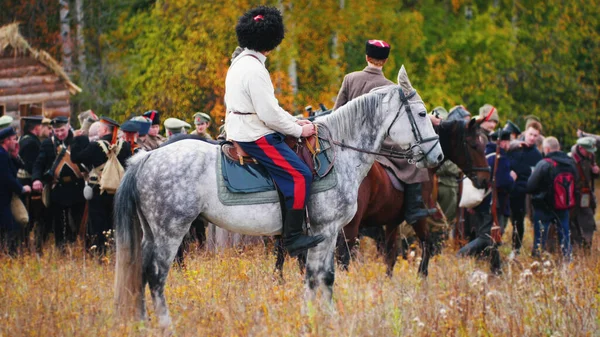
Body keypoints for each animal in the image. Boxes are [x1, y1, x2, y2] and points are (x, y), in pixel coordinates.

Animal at [112, 65, 442, 326]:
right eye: (421, 113)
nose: (437, 156)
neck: (339, 152)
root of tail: (147, 158)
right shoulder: (328, 230)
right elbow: (323, 275)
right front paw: (324, 317)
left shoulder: (325, 233)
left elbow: (317, 275)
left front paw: (315, 315)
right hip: (171, 231)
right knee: (156, 275)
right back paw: (164, 324)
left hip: (152, 232)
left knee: (141, 273)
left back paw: (142, 321)